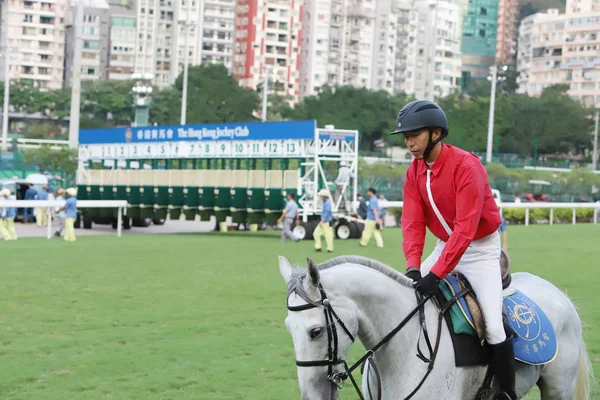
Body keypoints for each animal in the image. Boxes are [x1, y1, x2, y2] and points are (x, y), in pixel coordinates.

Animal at [280, 256, 592, 400]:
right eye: (288, 329)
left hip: (558, 391)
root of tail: (561, 296)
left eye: (315, 331)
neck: (403, 351)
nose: (312, 397)